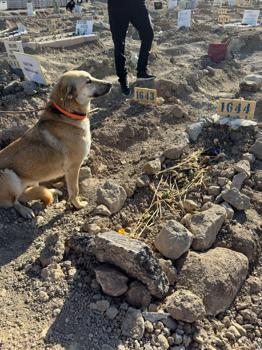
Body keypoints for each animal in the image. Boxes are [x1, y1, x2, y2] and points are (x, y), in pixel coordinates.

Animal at [0, 71, 111, 217]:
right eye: (88, 81)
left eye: (92, 76)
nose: (110, 84)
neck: (67, 114)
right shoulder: (73, 168)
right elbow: (74, 190)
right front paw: (78, 205)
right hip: (8, 175)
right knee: (14, 201)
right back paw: (25, 210)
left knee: (28, 192)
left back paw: (51, 191)